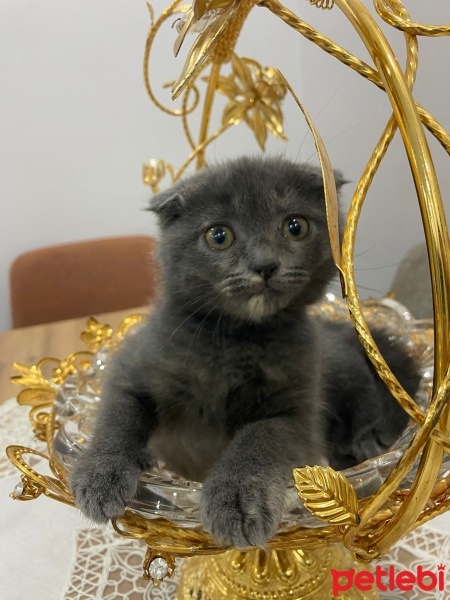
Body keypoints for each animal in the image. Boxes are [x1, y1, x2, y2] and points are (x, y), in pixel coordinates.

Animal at [70, 156, 418, 548]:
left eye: (295, 226)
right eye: (218, 235)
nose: (265, 264)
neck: (233, 339)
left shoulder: (297, 409)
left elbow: (259, 440)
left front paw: (237, 500)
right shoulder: (133, 363)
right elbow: (119, 414)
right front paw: (100, 473)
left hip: (338, 362)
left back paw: (370, 440)